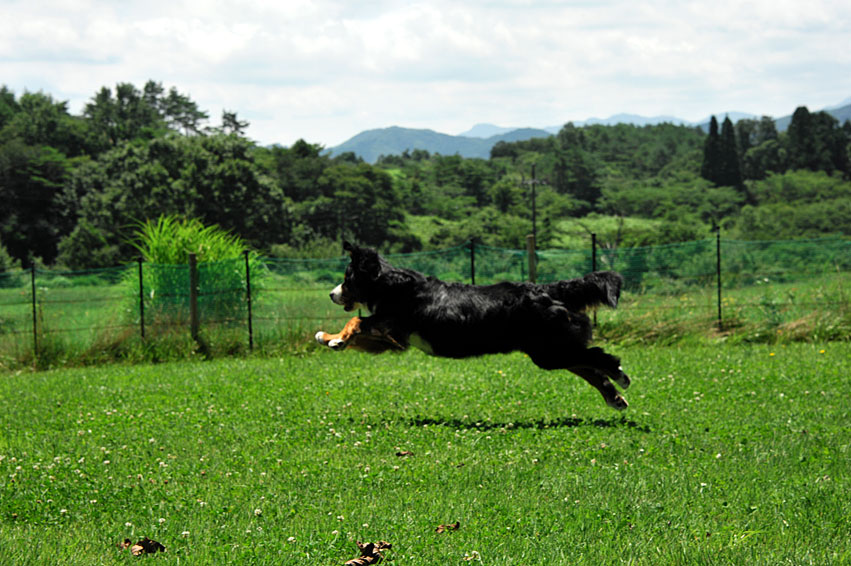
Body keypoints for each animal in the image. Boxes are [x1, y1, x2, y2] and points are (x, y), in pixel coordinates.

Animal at [316, 242, 628, 410]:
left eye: (347, 279)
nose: (331, 294)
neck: (391, 285)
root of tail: (544, 289)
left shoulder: (390, 324)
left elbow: (356, 320)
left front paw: (335, 338)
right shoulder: (394, 341)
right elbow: (359, 331)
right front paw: (330, 338)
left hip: (549, 350)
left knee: (597, 358)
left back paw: (620, 377)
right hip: (550, 351)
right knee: (588, 366)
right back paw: (614, 396)